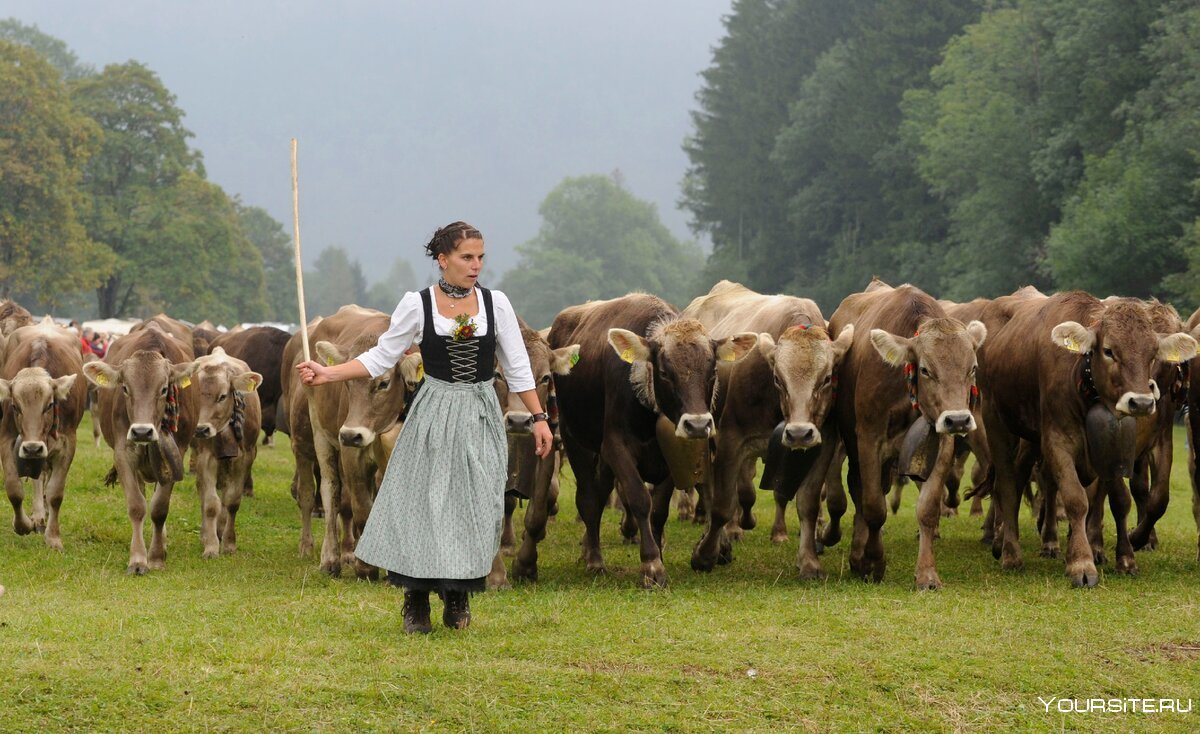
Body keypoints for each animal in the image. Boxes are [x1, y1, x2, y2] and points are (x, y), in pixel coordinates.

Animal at [0, 319, 87, 546]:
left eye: (49, 405)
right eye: (15, 406)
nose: (32, 448)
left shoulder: (67, 443)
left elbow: (55, 492)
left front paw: (53, 537)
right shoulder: (7, 438)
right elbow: (14, 488)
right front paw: (23, 525)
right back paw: (38, 517)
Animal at [84, 314, 198, 573]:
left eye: (164, 389)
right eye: (125, 388)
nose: (142, 431)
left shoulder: (176, 453)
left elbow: (159, 509)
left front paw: (156, 557)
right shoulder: (124, 453)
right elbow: (137, 506)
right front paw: (137, 559)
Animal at [549, 292, 753, 585]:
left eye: (713, 372)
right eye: (665, 372)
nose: (697, 425)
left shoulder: (671, 457)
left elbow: (658, 510)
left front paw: (660, 554)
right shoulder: (616, 447)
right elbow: (639, 499)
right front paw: (651, 564)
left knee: (599, 495)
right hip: (574, 439)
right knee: (587, 498)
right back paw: (594, 559)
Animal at [825, 284, 984, 587]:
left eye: (972, 368)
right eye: (925, 369)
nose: (958, 419)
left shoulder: (942, 442)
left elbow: (928, 509)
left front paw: (927, 574)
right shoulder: (868, 439)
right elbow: (874, 507)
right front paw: (872, 561)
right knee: (859, 491)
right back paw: (857, 554)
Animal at [979, 291, 1195, 585]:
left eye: (1154, 353)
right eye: (1109, 351)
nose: (1141, 402)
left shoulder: (1144, 444)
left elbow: (1145, 499)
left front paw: (1126, 554)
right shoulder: (1057, 440)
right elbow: (1076, 498)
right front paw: (1082, 562)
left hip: (1030, 437)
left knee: (1023, 474)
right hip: (997, 422)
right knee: (1009, 485)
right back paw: (1011, 551)